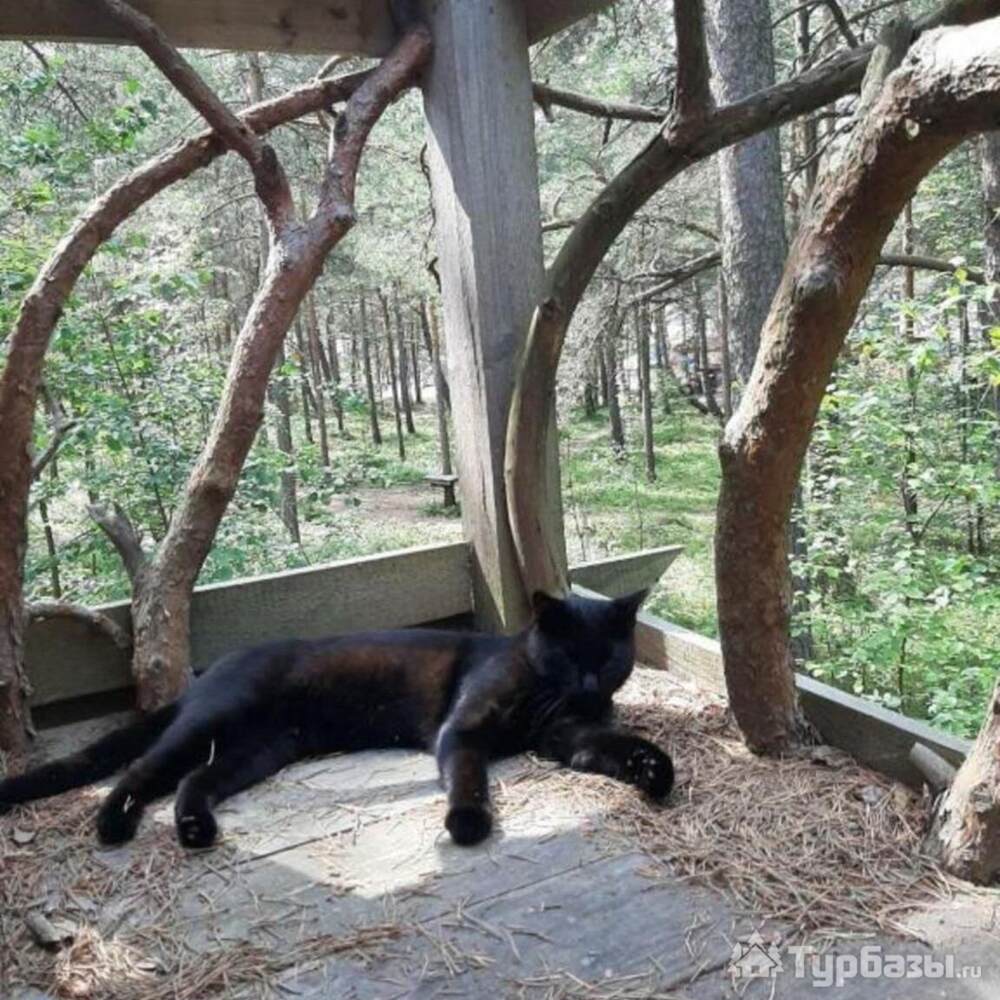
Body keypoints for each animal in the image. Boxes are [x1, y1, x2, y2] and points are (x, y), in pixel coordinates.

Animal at [0, 590, 673, 849]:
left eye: (608, 657)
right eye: (569, 656)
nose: (590, 684)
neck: (544, 691)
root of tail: (212, 670)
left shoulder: (569, 737)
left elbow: (616, 746)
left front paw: (655, 770)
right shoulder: (461, 731)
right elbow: (469, 777)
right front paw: (466, 822)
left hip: (256, 751)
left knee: (195, 782)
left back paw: (195, 830)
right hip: (210, 724)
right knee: (142, 770)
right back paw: (113, 823)